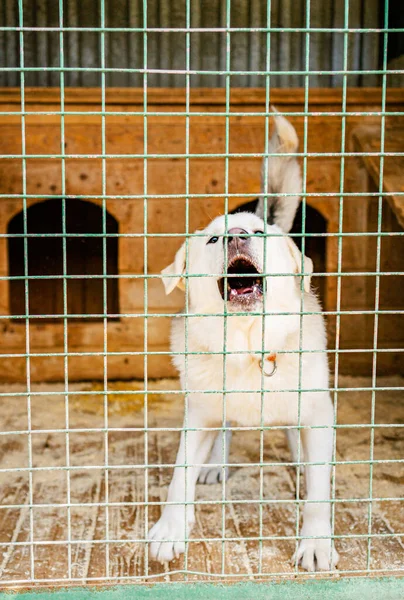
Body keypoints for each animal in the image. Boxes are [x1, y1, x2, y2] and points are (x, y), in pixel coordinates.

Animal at [148, 111, 338, 572]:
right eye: (214, 239)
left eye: (258, 233)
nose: (236, 233)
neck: (247, 343)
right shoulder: (198, 414)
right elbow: (179, 474)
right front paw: (170, 528)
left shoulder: (317, 411)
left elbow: (318, 494)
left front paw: (316, 542)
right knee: (225, 430)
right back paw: (216, 462)